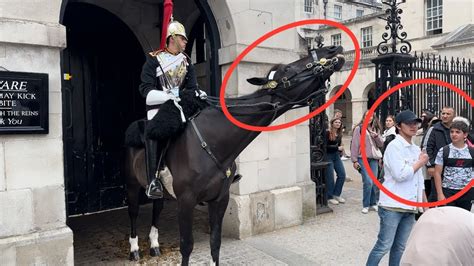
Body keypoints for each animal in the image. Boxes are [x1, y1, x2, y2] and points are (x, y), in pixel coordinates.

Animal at [123, 45, 344, 264]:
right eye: (287, 69)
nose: (332, 50)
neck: (213, 142)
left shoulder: (220, 199)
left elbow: (215, 243)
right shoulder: (186, 201)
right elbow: (186, 246)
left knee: (157, 209)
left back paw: (154, 244)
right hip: (133, 184)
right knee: (133, 212)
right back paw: (135, 248)